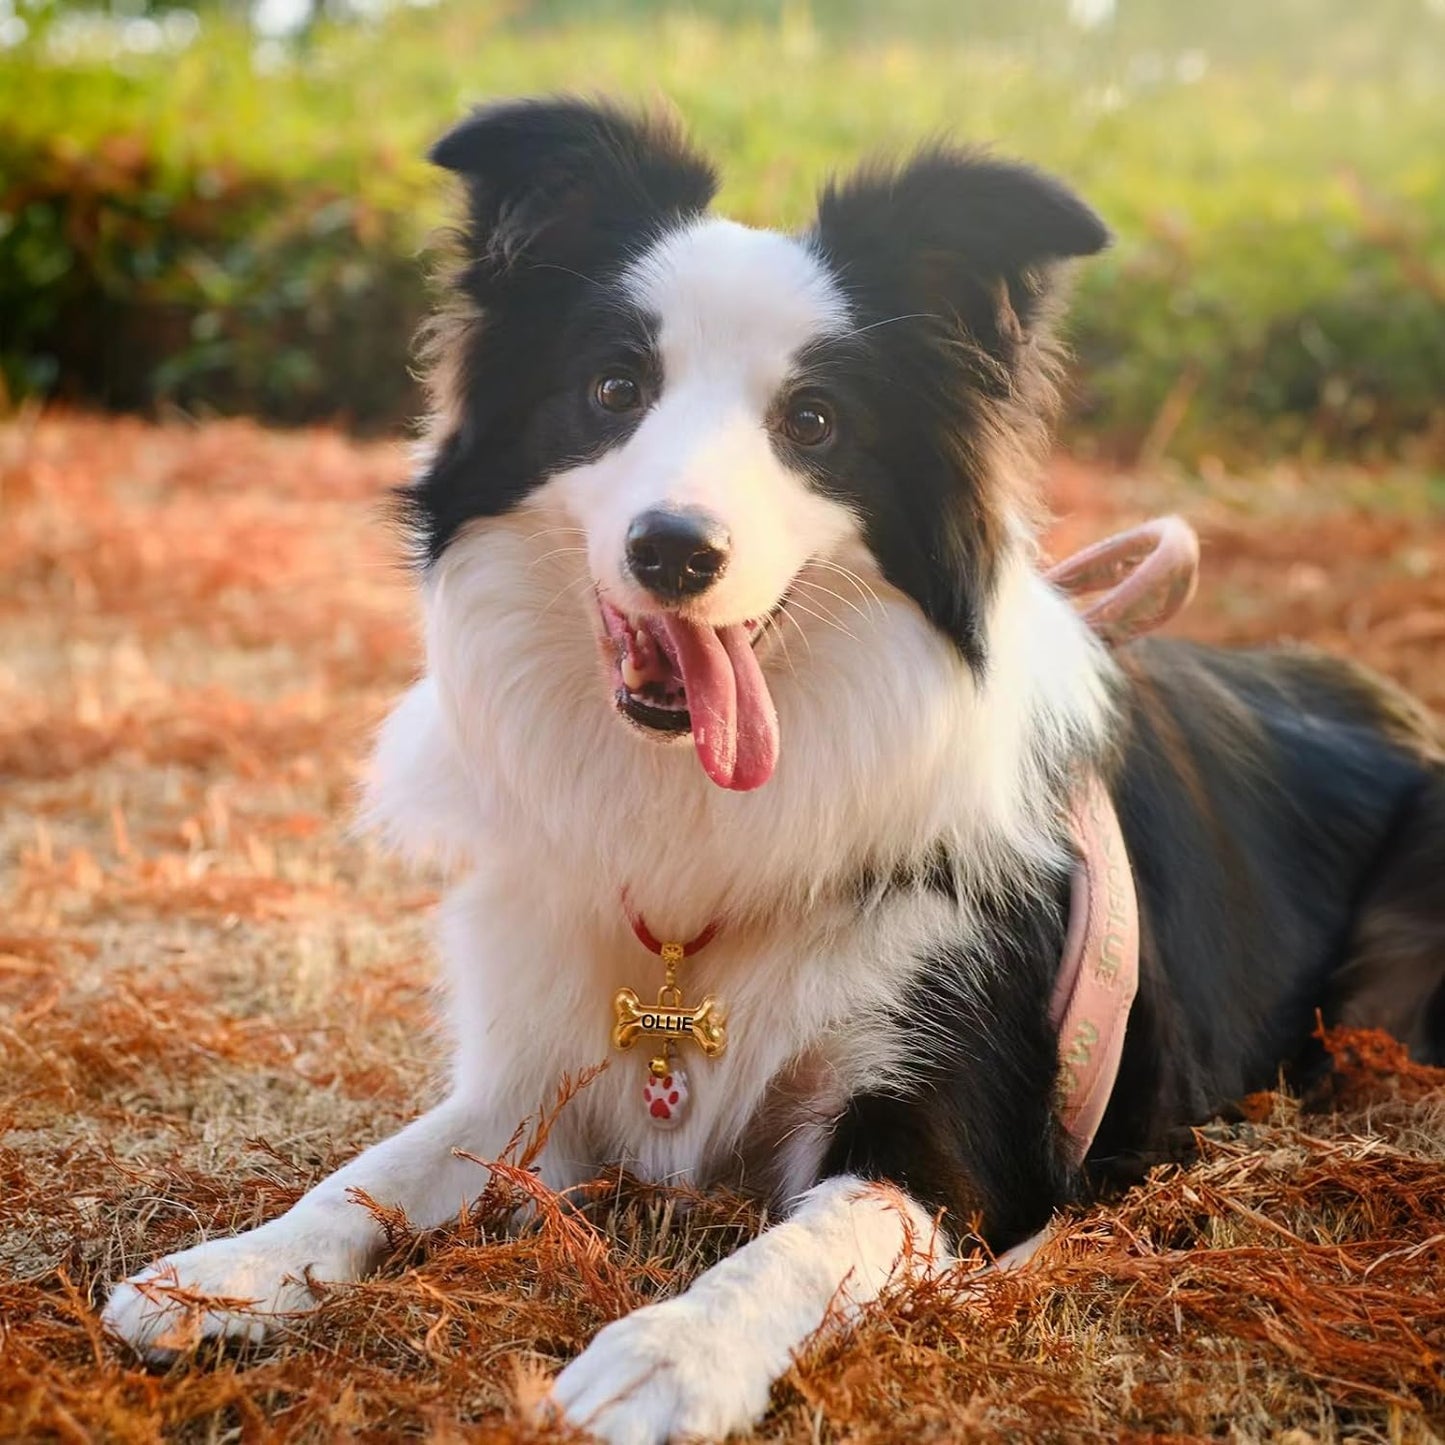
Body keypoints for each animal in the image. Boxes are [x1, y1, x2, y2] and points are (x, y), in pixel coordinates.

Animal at [106, 96, 1445, 1439]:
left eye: (812, 423)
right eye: (612, 388)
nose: (673, 550)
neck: (700, 813)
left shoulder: (953, 1156)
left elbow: (786, 1253)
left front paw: (664, 1355)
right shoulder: (536, 1079)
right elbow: (373, 1167)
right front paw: (225, 1269)